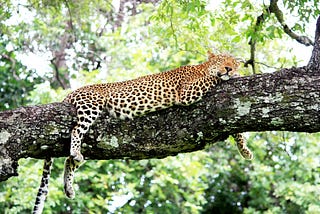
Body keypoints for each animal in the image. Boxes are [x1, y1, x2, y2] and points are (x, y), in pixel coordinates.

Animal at [31, 51, 252, 214]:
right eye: (222, 60)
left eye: (234, 62)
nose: (229, 68)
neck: (201, 67)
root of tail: (71, 93)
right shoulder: (187, 92)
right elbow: (212, 78)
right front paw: (232, 76)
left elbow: (237, 130)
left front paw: (245, 151)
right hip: (91, 106)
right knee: (76, 131)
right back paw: (76, 153)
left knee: (69, 160)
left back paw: (69, 186)